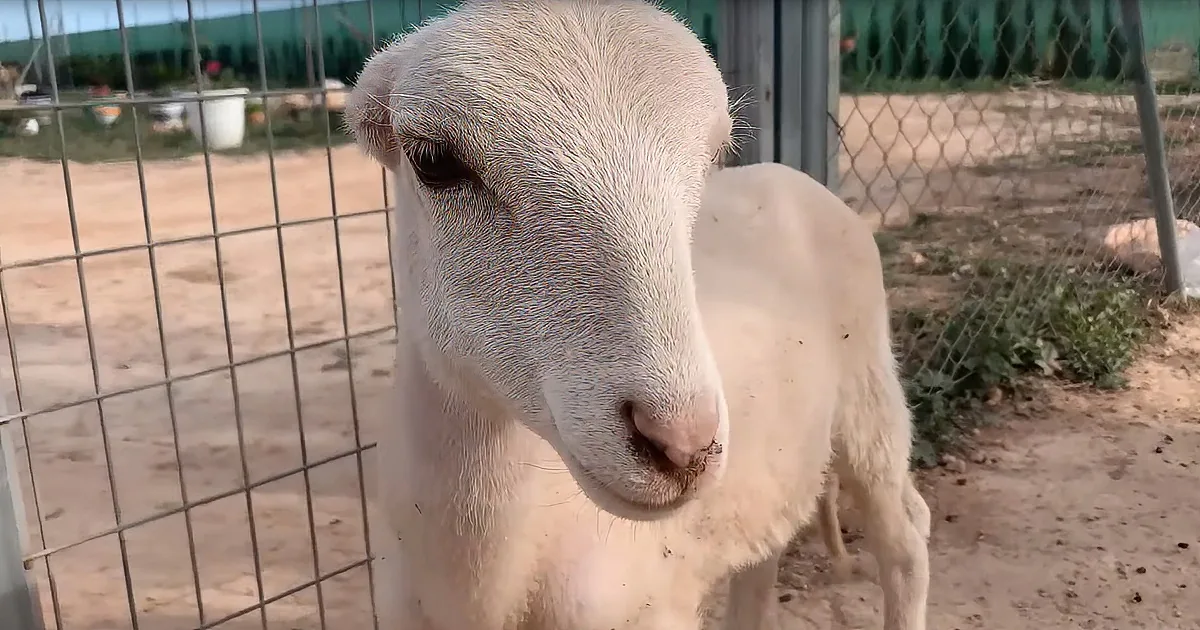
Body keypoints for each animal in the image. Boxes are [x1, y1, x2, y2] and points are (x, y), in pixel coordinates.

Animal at [344, 1, 931, 628]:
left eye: (713, 153)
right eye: (434, 162)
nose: (682, 445)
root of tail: (789, 174)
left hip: (869, 390)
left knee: (905, 533)